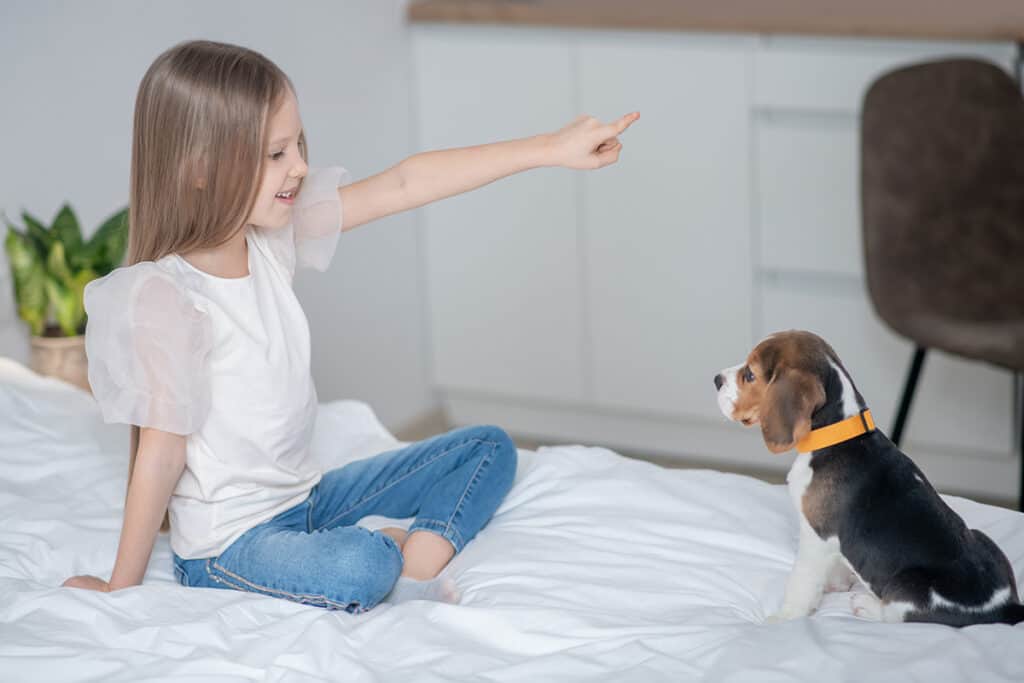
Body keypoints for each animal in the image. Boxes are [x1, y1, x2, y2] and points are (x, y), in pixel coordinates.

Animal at [716, 327, 1019, 626]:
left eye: (750, 374)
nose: (716, 379)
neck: (836, 434)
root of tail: (1006, 607)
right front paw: (836, 581)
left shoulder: (815, 537)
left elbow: (800, 582)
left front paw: (784, 617)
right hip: (981, 537)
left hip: (908, 585)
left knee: (895, 615)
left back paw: (867, 605)